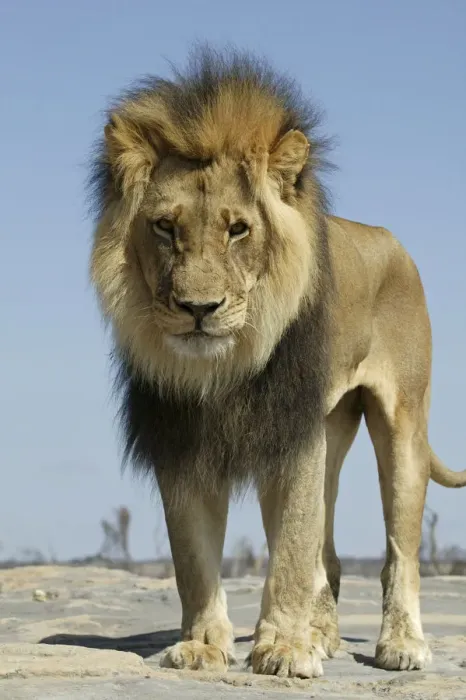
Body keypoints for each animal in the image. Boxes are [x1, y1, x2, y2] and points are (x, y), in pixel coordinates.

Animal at [89, 46, 466, 679]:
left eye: (238, 230)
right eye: (165, 227)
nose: (198, 309)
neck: (223, 369)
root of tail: (391, 241)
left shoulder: (290, 437)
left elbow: (290, 549)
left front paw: (285, 649)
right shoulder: (180, 440)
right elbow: (193, 559)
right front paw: (204, 644)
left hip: (403, 427)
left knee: (399, 550)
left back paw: (401, 644)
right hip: (333, 429)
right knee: (329, 554)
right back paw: (325, 636)